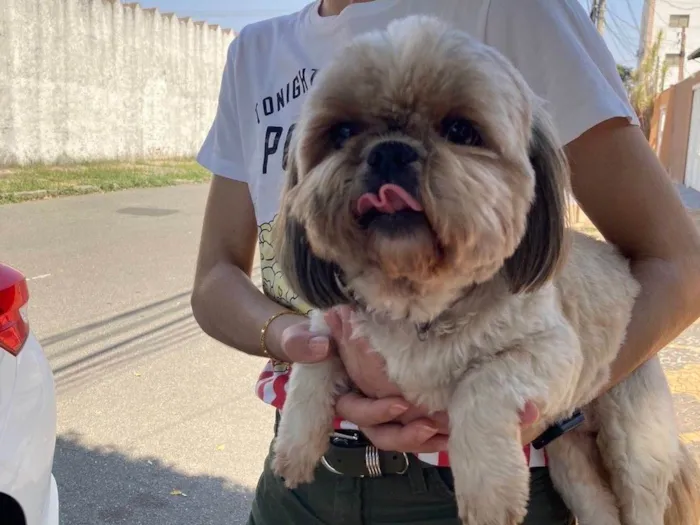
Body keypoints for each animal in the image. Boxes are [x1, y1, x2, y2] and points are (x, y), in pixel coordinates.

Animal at [270, 14, 700, 524]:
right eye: (340, 133)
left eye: (461, 130)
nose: (391, 150)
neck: (421, 305)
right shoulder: (331, 323)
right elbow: (312, 364)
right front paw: (295, 446)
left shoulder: (552, 352)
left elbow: (480, 384)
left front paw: (489, 494)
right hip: (570, 463)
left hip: (633, 449)